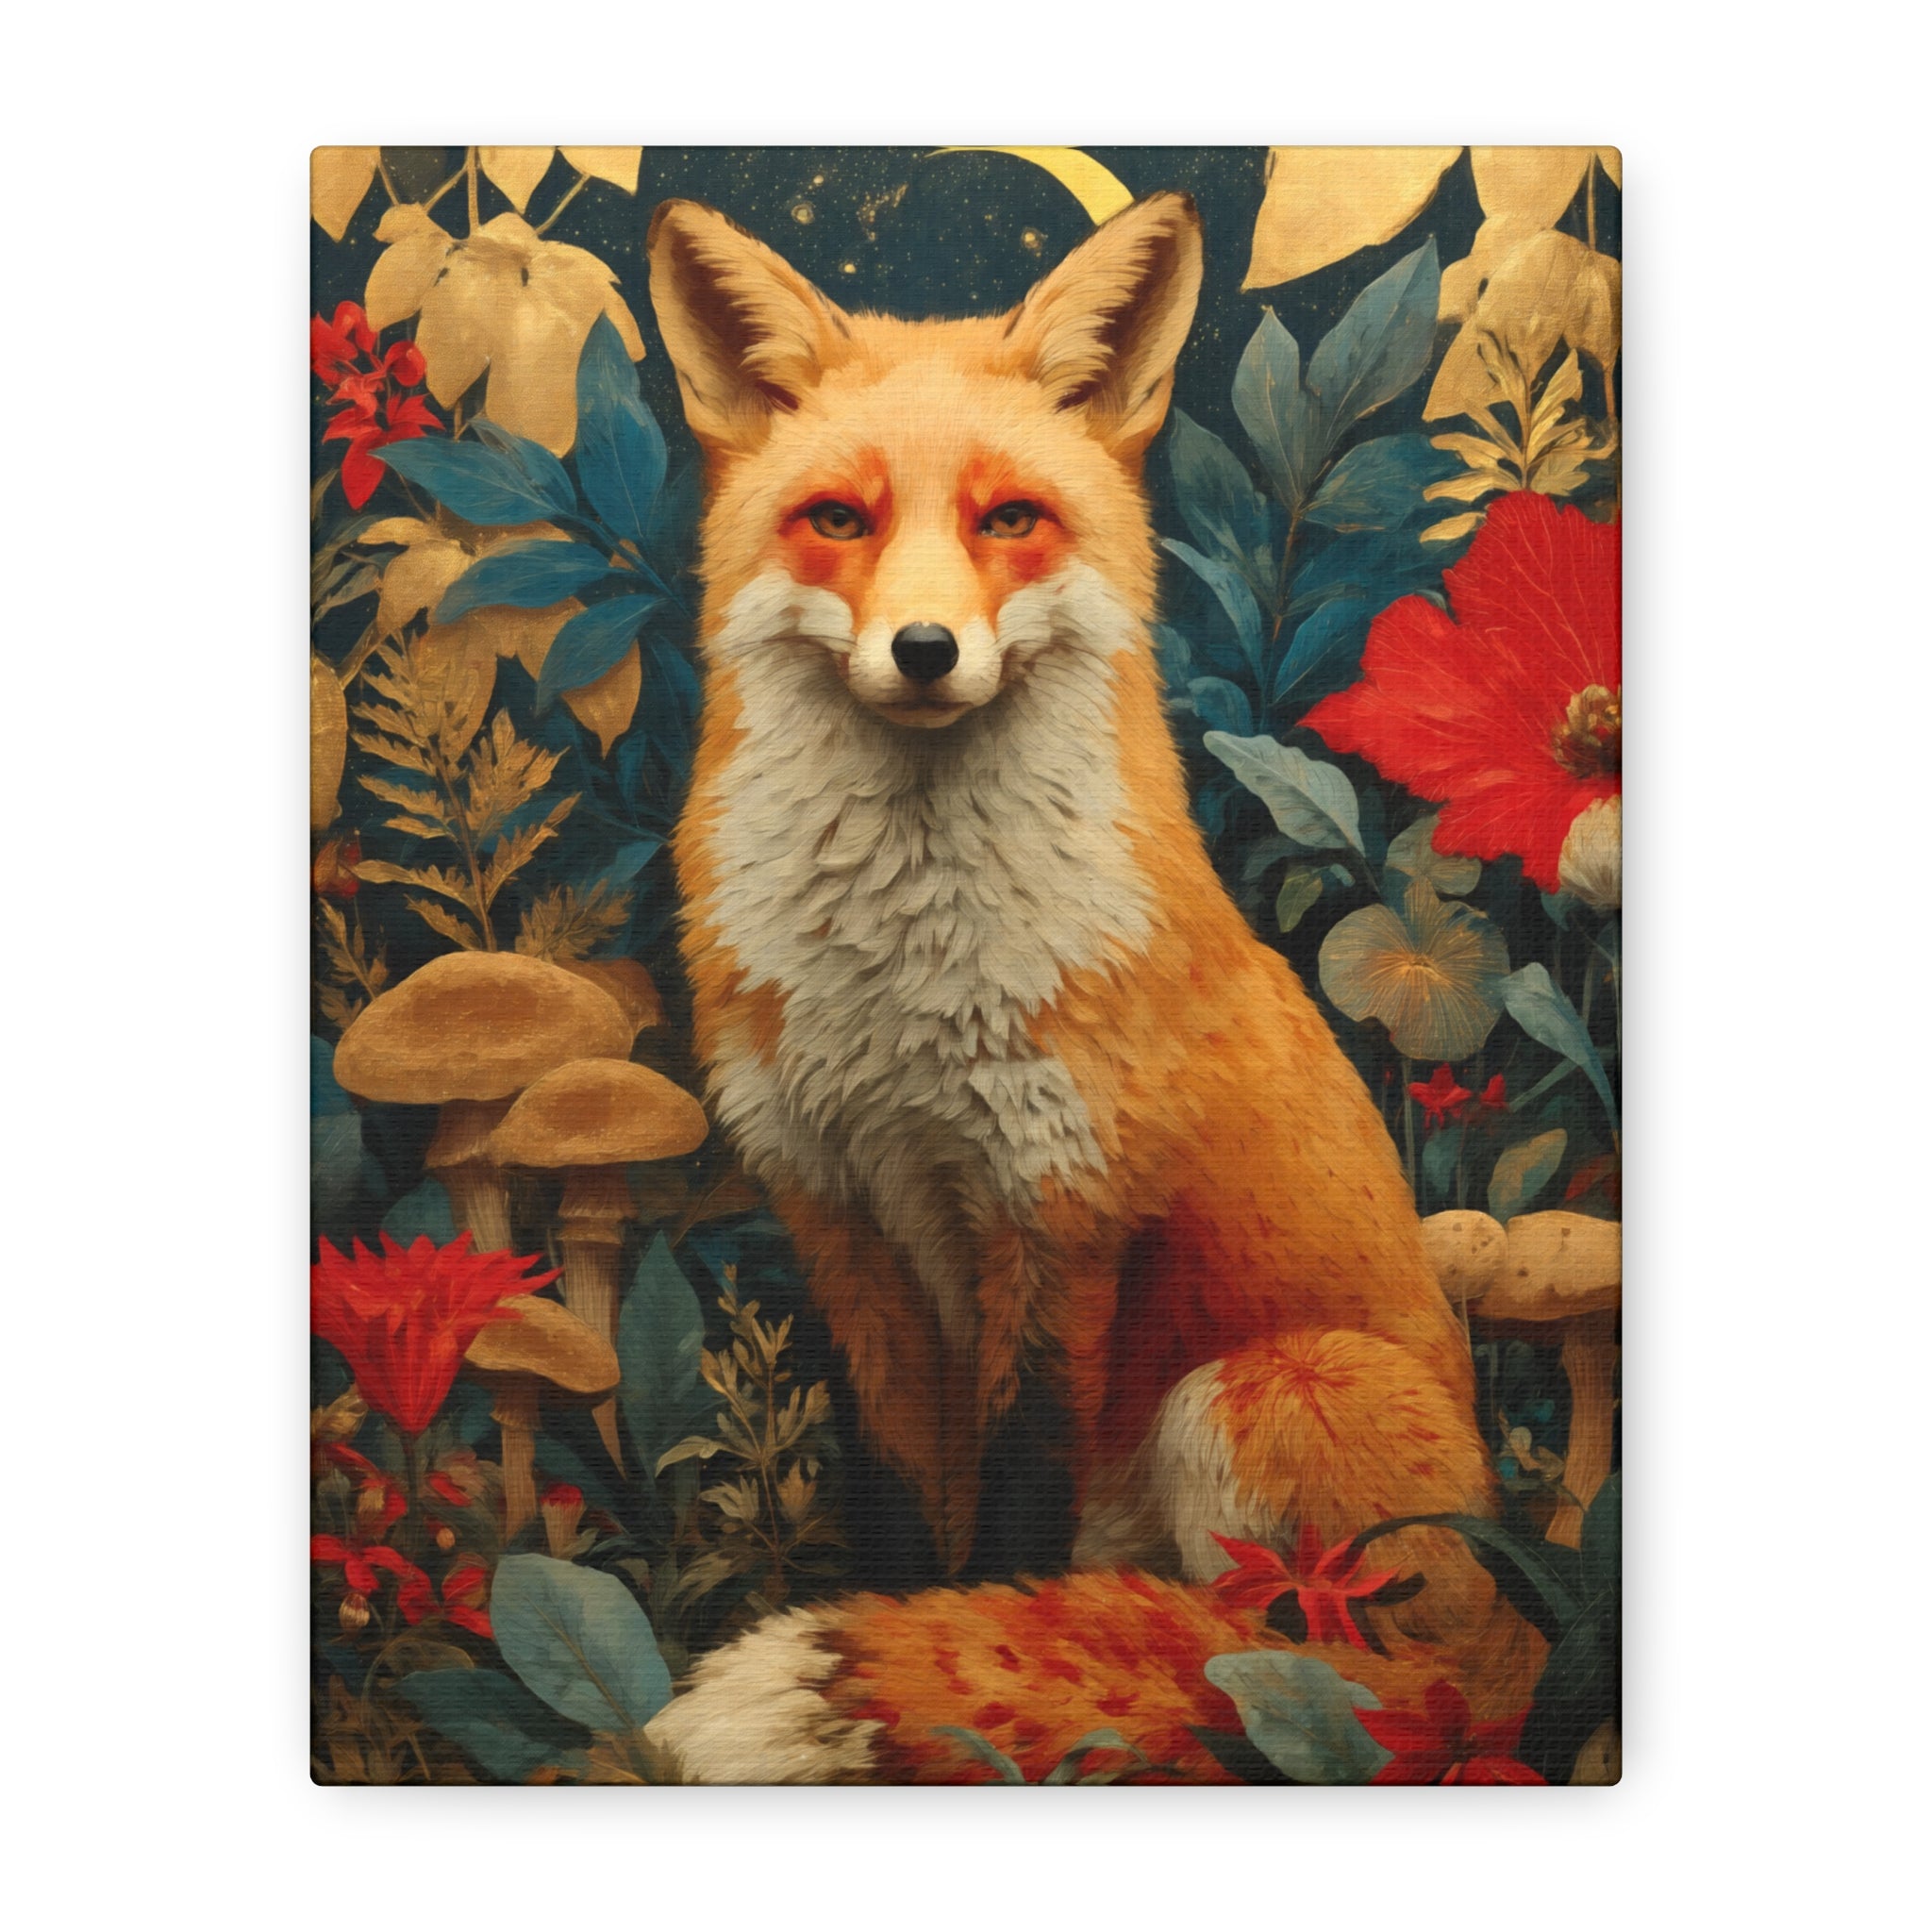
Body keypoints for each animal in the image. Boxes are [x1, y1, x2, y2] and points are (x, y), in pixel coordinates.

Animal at [637, 193, 1542, 1781]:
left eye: (1009, 518)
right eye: (839, 520)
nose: (924, 651)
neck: (903, 987)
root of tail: (1509, 1641)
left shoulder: (1061, 1222)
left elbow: (1014, 1516)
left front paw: (975, 1672)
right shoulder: (843, 1220)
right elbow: (901, 1506)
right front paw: (917, 1628)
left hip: (1256, 1393)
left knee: (1298, 1673)